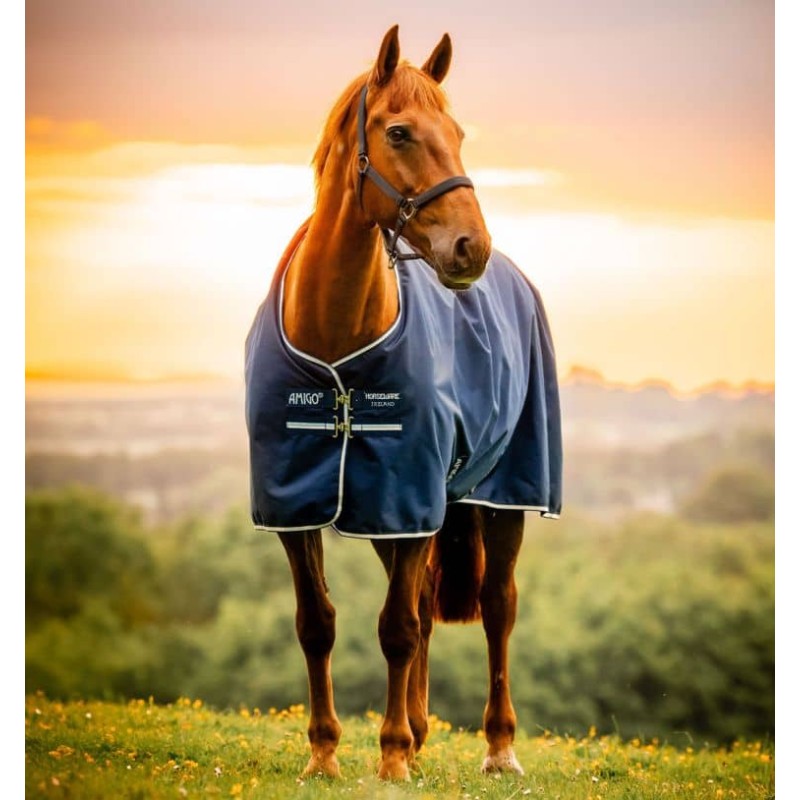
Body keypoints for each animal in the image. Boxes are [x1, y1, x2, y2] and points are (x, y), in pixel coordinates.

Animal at [245, 25, 562, 781]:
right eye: (399, 132)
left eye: (459, 132)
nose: (471, 247)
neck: (337, 342)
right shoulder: (302, 504)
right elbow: (318, 624)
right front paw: (325, 755)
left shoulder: (409, 496)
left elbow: (397, 628)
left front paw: (389, 759)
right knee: (418, 601)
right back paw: (418, 732)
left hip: (500, 495)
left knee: (497, 605)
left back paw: (497, 746)